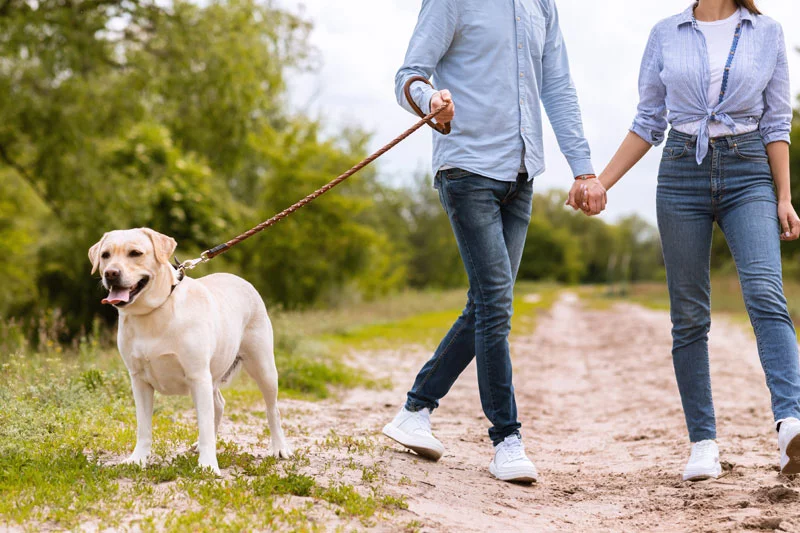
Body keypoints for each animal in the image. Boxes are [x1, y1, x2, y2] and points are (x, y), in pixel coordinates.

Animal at [90, 227, 290, 472]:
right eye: (105, 255)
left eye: (135, 253)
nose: (111, 273)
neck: (153, 311)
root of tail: (240, 279)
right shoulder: (139, 380)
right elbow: (143, 427)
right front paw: (138, 459)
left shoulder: (197, 375)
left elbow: (204, 424)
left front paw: (208, 466)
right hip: (214, 374)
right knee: (219, 405)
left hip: (263, 367)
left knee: (272, 409)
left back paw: (279, 448)